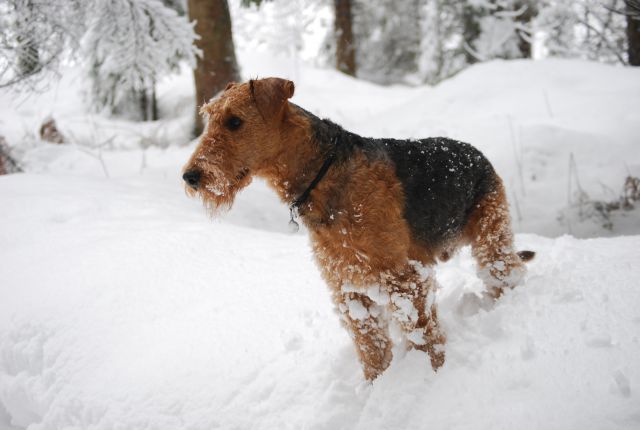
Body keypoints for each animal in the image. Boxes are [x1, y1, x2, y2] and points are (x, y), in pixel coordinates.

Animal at [182, 77, 532, 380]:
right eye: (208, 118)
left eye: (235, 121)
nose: (190, 176)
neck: (321, 174)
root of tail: (477, 154)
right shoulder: (348, 287)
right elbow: (372, 350)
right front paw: (376, 387)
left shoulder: (405, 278)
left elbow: (424, 336)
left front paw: (430, 378)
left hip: (491, 236)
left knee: (507, 273)